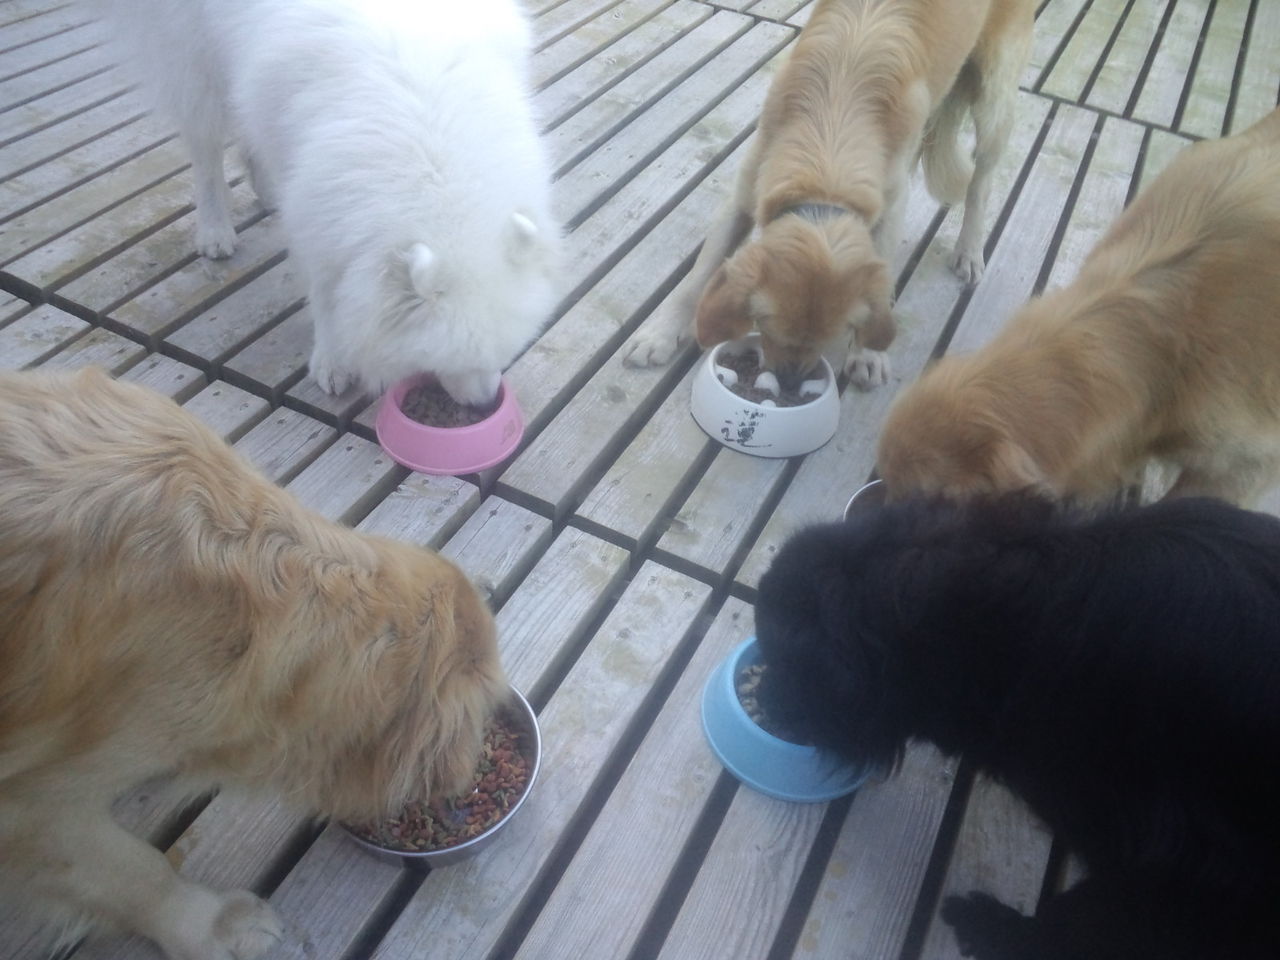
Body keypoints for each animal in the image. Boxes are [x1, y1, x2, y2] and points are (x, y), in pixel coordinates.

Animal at [82, 0, 562, 406]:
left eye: (504, 353)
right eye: (454, 361)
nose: (486, 405)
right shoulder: (326, 216)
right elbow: (327, 294)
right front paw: (333, 361)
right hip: (196, 64)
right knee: (205, 149)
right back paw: (215, 229)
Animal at [624, 0, 1035, 391]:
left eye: (831, 336)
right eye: (765, 325)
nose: (789, 384)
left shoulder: (891, 204)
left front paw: (868, 354)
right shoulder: (743, 194)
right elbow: (696, 278)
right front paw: (659, 334)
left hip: (995, 99)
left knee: (981, 183)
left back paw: (969, 250)